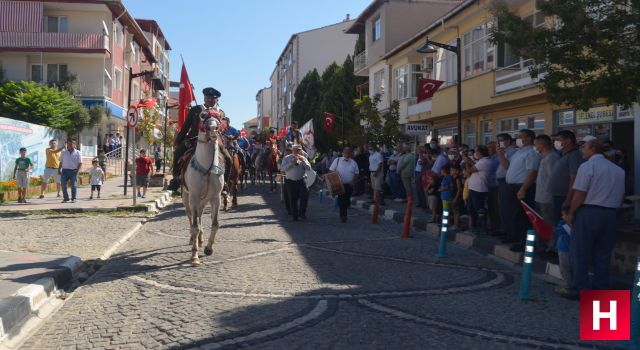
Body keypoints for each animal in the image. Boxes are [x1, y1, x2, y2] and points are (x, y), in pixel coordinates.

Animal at [181, 115, 226, 266]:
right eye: (203, 115)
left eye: (219, 116)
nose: (213, 129)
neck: (207, 169)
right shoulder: (194, 197)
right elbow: (195, 225)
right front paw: (194, 256)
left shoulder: (216, 198)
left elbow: (215, 224)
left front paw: (208, 248)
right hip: (187, 198)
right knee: (191, 217)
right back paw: (192, 240)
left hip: (204, 200)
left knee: (199, 216)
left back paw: (200, 240)